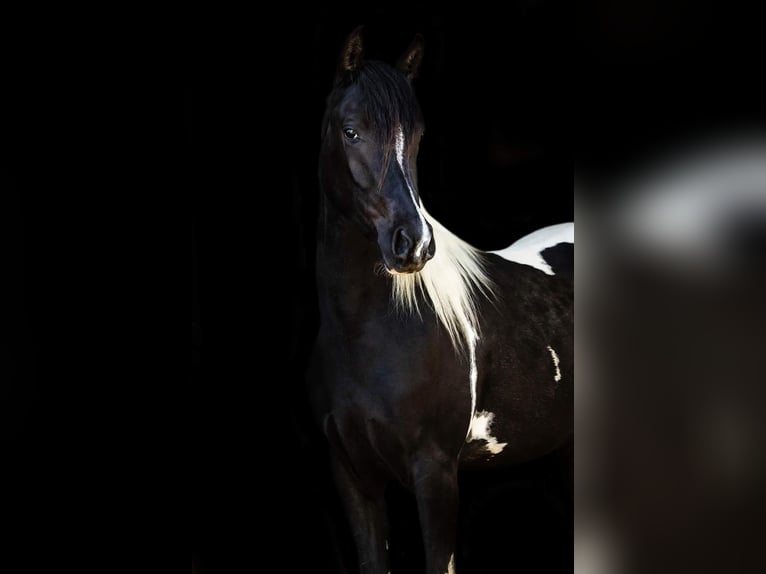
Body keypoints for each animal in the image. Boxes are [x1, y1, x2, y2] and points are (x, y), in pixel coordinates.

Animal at [308, 27, 572, 574]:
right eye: (350, 131)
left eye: (419, 137)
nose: (414, 243)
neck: (367, 335)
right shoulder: (353, 478)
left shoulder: (435, 473)